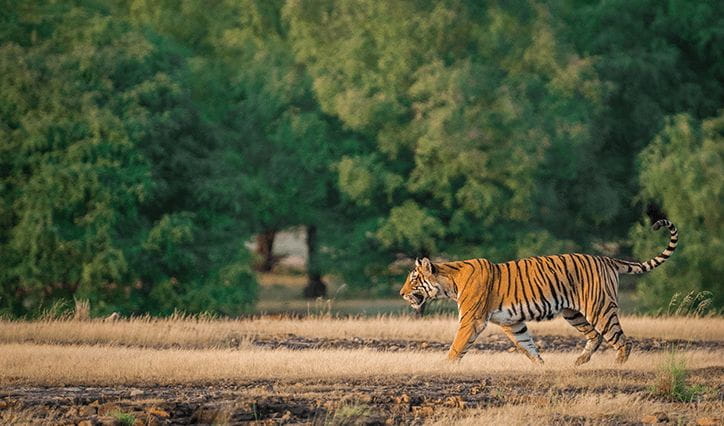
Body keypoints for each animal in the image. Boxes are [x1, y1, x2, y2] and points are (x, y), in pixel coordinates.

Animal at [402, 218, 680, 364]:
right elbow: (527, 346)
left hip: (599, 307)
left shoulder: (472, 319)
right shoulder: (512, 323)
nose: (402, 293)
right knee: (596, 336)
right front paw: (542, 366)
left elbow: (458, 345)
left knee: (621, 340)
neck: (449, 281)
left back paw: (617, 366)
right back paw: (578, 363)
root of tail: (607, 258)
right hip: (573, 313)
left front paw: (445, 366)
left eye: (413, 279)